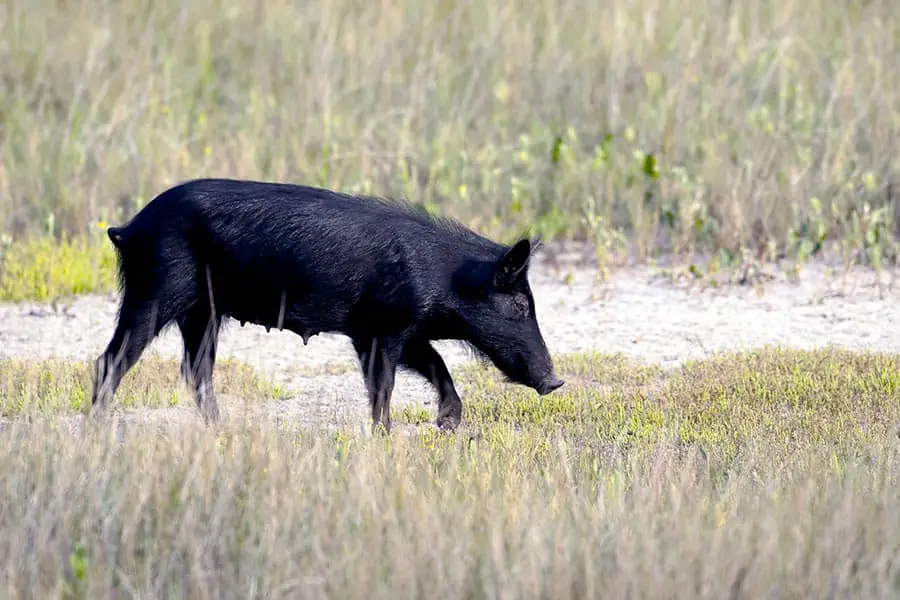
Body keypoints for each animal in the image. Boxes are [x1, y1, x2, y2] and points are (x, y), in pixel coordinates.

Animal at [95, 178, 568, 432]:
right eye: (521, 305)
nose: (556, 380)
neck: (444, 278)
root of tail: (129, 228)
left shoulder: (394, 330)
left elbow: (434, 363)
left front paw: (448, 424)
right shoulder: (381, 328)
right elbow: (384, 385)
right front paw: (384, 436)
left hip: (203, 313)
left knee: (196, 371)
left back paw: (221, 429)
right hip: (155, 291)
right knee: (111, 360)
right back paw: (98, 428)